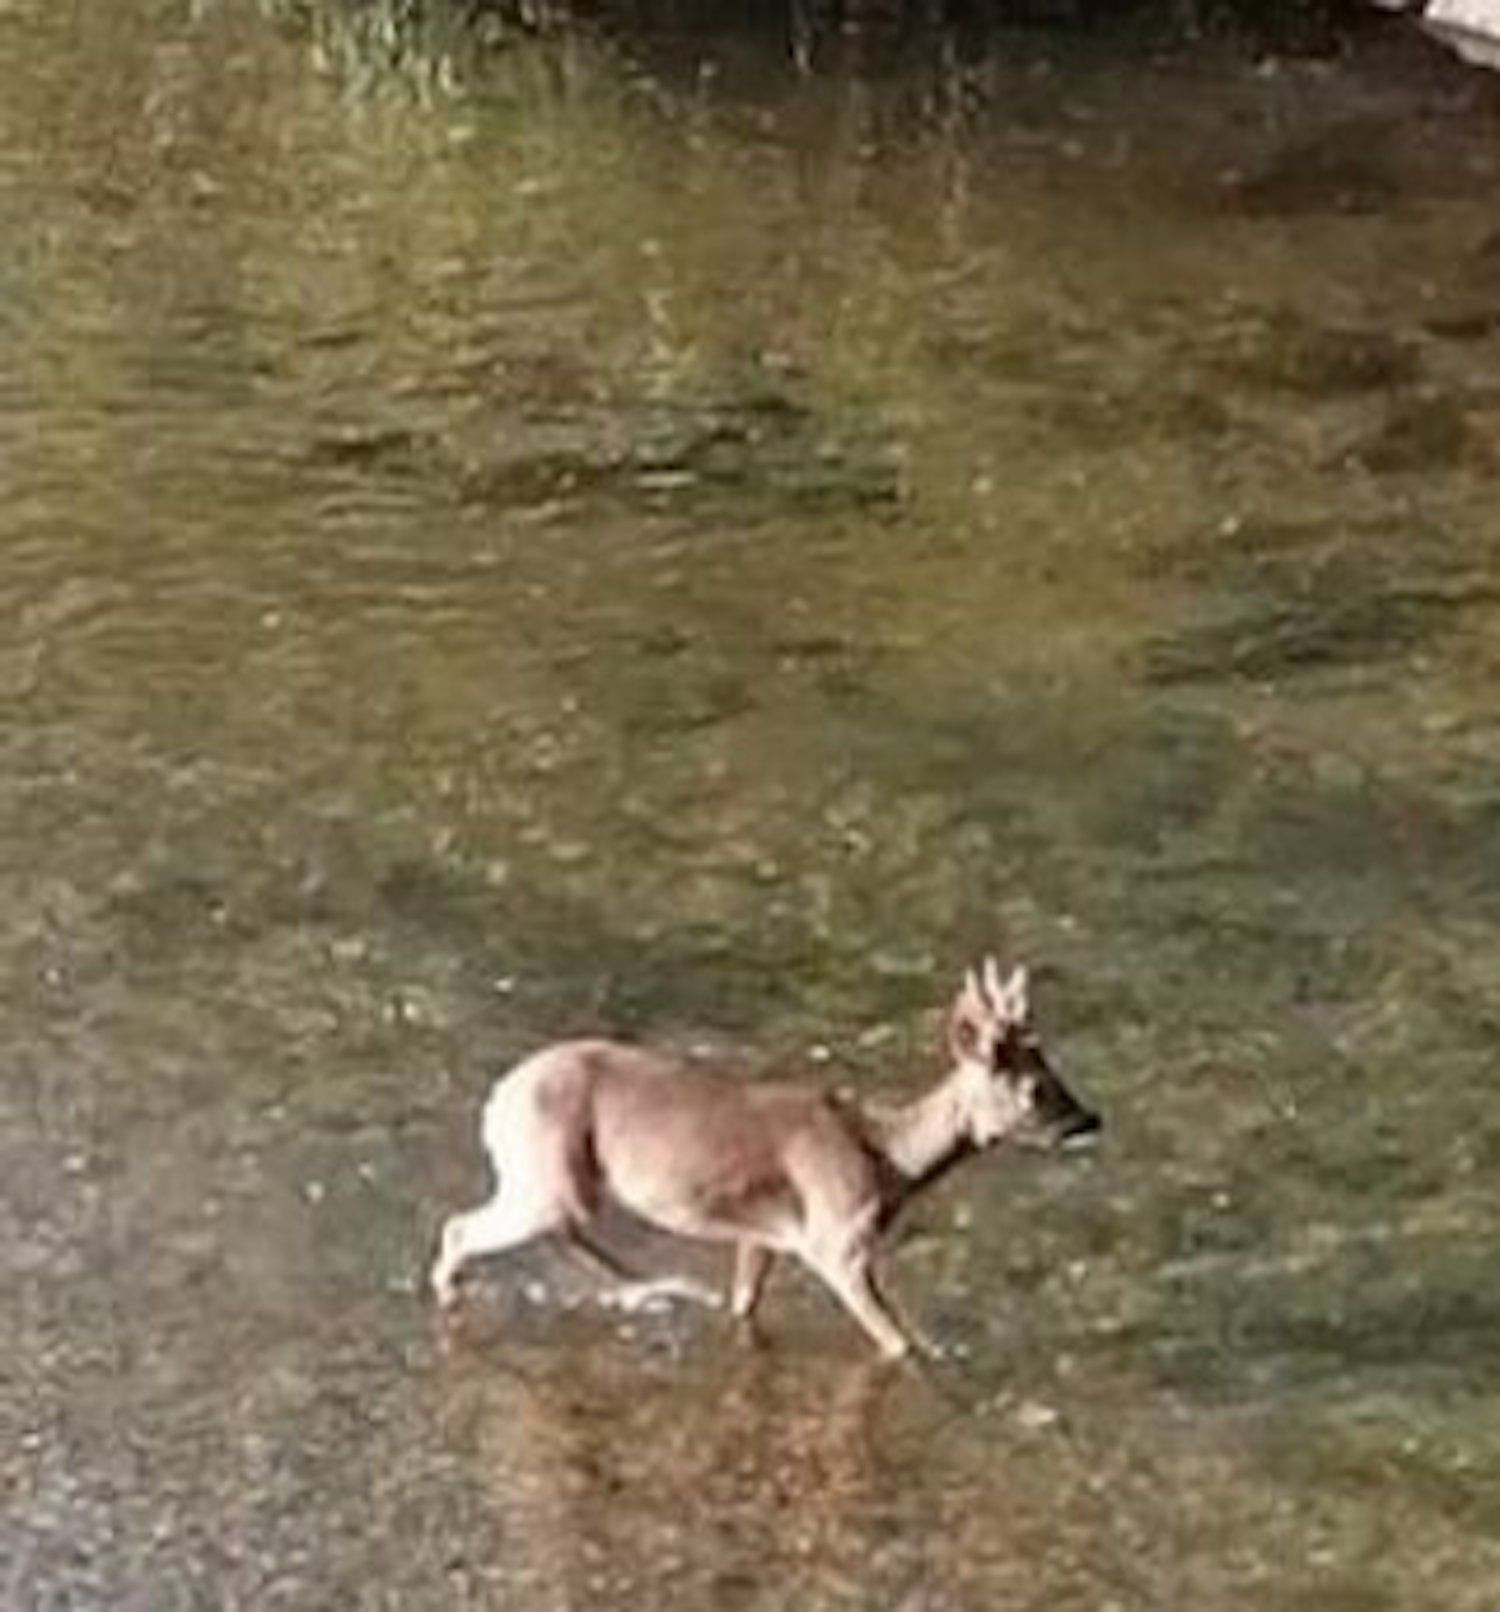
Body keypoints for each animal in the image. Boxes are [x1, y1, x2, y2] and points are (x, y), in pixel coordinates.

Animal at [428, 954, 1095, 1360]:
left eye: (1053, 1072)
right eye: (1034, 1089)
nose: (1090, 1120)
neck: (888, 1161)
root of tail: (496, 1099)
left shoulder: (763, 1238)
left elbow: (744, 1305)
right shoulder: (837, 1242)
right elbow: (897, 1342)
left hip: (559, 1182)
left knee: (556, 1233)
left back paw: (653, 1288)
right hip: (548, 1176)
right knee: (462, 1228)